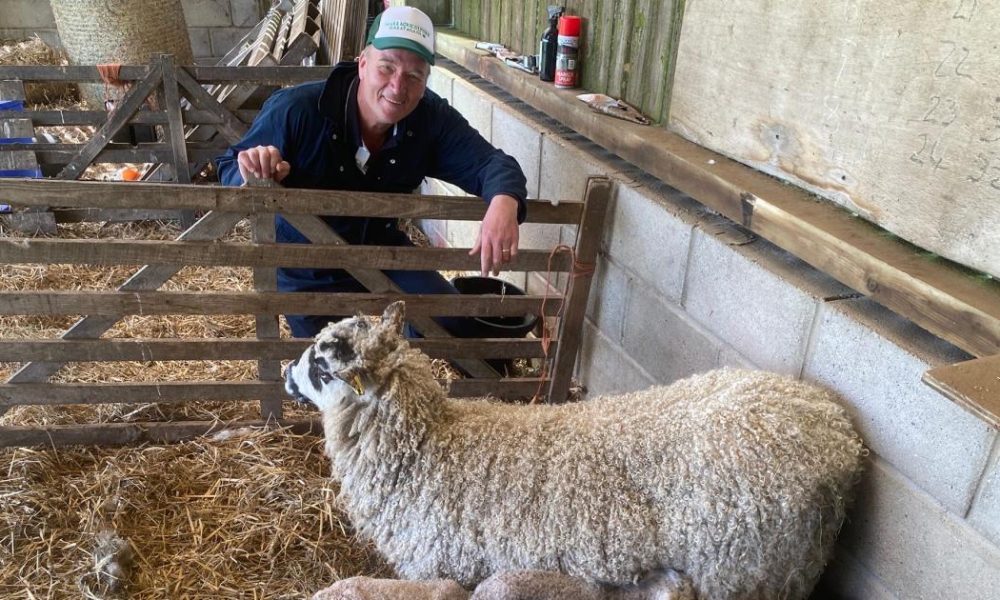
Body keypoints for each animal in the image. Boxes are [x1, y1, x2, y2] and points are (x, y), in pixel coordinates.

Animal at [284, 301, 865, 600]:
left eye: (322, 364)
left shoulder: (439, 569)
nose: (288, 374)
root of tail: (835, 431)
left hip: (746, 573)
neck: (427, 445)